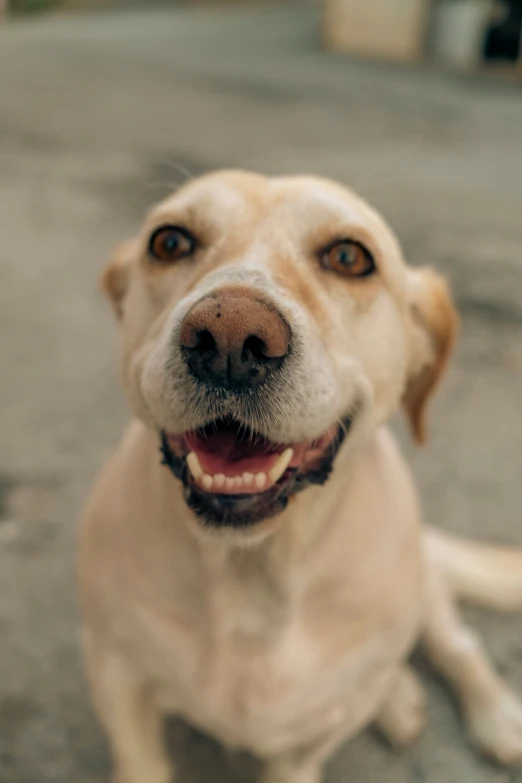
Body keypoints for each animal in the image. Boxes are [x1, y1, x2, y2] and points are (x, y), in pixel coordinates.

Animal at [78, 168, 522, 780]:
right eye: (169, 242)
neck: (251, 569)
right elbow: (140, 760)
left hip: (423, 583)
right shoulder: (114, 671)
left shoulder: (313, 737)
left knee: (459, 645)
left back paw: (494, 716)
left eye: (349, 256)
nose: (229, 339)